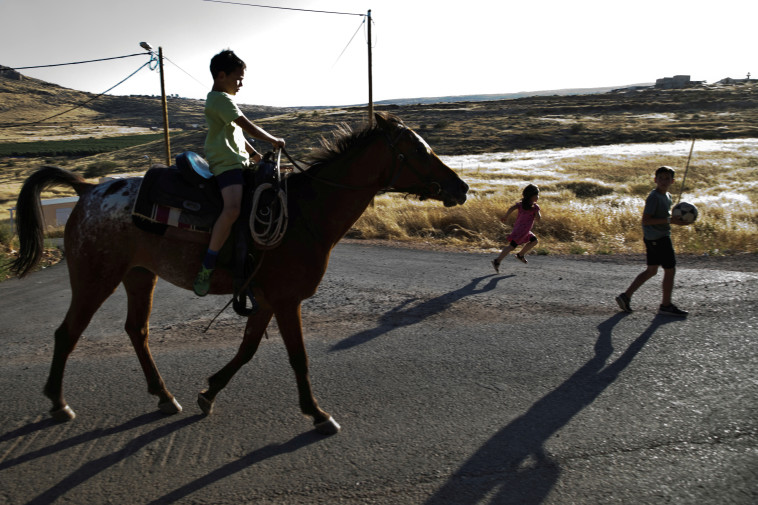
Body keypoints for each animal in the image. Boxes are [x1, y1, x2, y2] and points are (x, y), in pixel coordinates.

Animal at [11, 113, 470, 434]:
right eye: (419, 151)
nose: (461, 188)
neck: (305, 213)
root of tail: (88, 190)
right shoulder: (285, 300)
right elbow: (298, 357)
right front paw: (317, 413)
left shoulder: (265, 299)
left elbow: (247, 350)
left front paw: (209, 392)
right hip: (95, 278)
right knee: (67, 333)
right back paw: (58, 403)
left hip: (140, 275)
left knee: (136, 331)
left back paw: (164, 395)